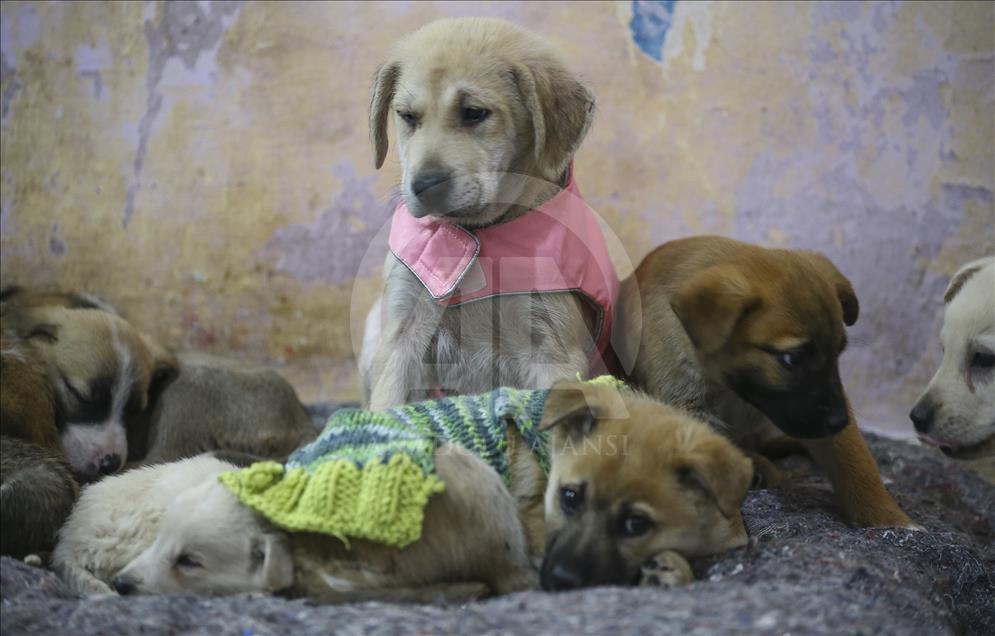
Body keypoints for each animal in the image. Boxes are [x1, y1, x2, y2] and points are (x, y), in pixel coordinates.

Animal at [620, 236, 916, 528]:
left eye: (838, 353)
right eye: (792, 358)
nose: (839, 421)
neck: (730, 389)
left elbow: (855, 462)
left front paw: (888, 517)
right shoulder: (689, 405)